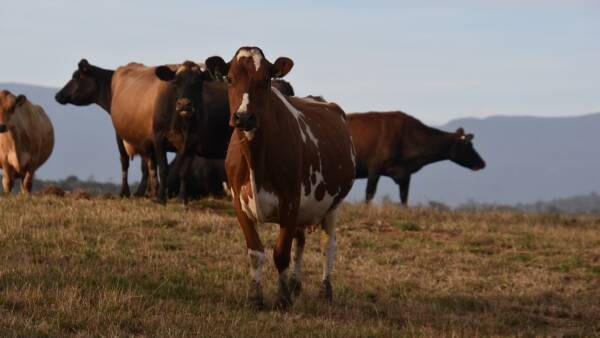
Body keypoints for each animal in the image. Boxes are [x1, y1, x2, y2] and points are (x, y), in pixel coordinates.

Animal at [206, 46, 356, 310]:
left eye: (266, 80)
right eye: (229, 78)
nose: (244, 117)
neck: (255, 158)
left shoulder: (290, 201)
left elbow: (281, 253)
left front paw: (283, 299)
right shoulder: (239, 204)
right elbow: (256, 252)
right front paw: (255, 297)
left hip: (332, 204)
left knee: (328, 244)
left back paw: (325, 290)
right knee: (300, 241)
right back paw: (296, 283)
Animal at [350, 112, 486, 205]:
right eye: (469, 145)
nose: (483, 163)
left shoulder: (405, 173)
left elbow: (404, 198)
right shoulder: (375, 167)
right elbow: (369, 194)